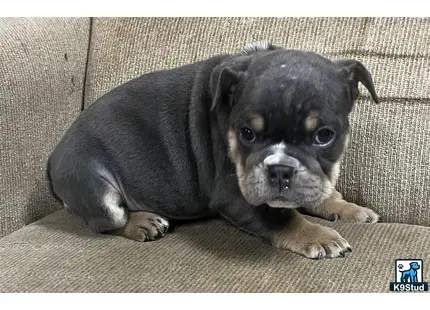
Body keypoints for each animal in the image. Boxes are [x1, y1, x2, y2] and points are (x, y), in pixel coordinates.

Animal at [47, 41, 380, 260]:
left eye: (324, 136)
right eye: (247, 134)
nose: (281, 169)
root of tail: (52, 160)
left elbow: (320, 190)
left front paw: (348, 208)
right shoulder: (235, 194)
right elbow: (282, 218)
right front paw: (318, 235)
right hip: (94, 186)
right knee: (105, 222)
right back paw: (142, 222)